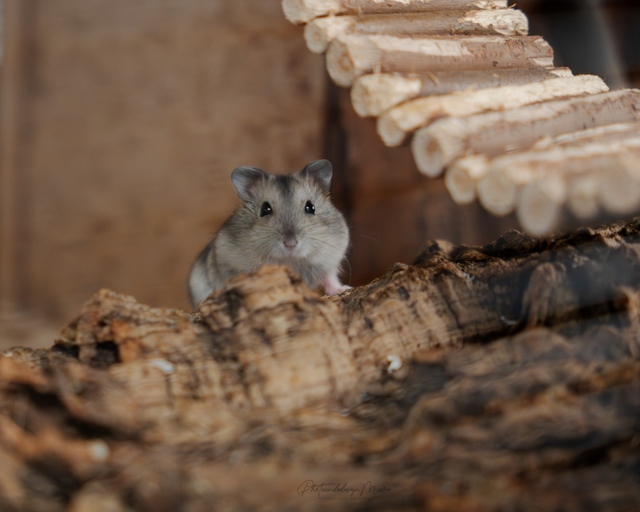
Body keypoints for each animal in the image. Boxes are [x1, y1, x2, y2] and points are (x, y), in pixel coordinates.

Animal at [189, 159, 350, 308]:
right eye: (265, 209)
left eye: (311, 207)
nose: (290, 244)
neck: (290, 261)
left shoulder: (330, 259)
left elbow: (330, 278)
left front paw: (344, 289)